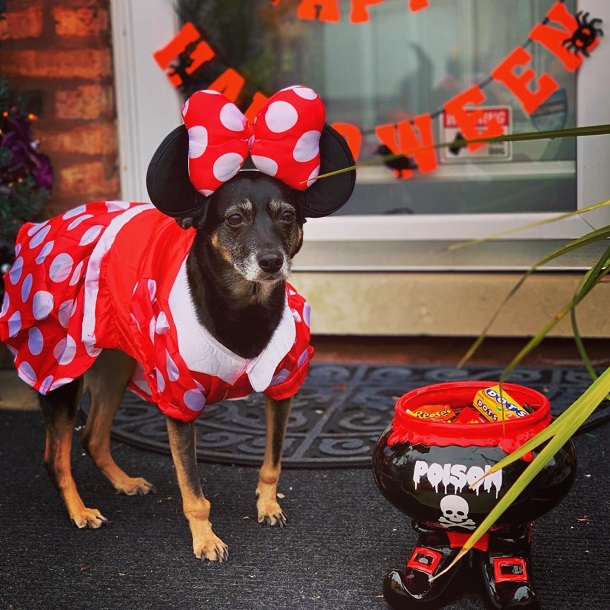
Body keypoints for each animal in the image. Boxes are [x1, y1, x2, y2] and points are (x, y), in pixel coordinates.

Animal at [0, 86, 354, 560]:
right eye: (235, 218)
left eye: (287, 217)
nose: (271, 261)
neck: (243, 307)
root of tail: (39, 227)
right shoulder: (179, 402)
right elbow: (193, 491)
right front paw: (205, 539)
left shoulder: (283, 387)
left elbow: (272, 462)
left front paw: (267, 506)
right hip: (60, 373)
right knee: (55, 456)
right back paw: (80, 510)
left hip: (116, 368)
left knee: (93, 436)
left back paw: (124, 482)